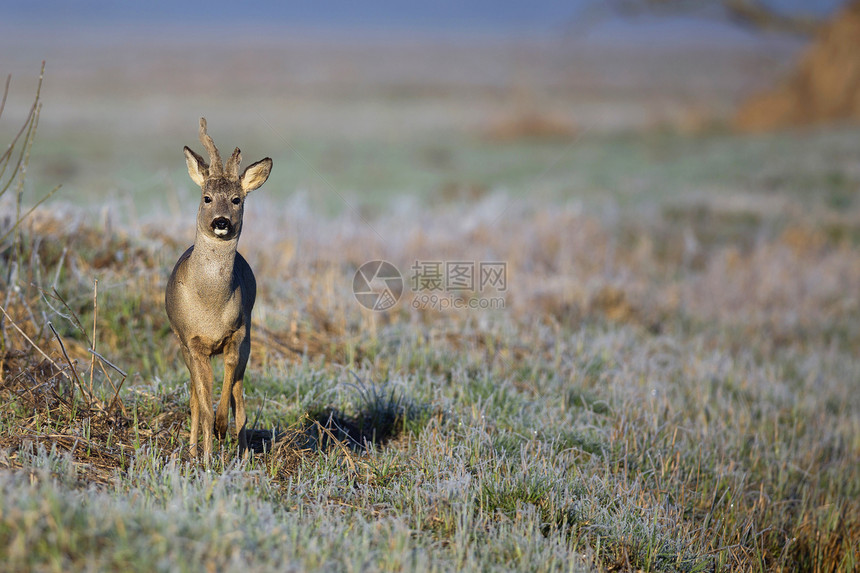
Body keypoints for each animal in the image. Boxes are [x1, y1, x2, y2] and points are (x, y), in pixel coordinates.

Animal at [166, 117, 274, 460]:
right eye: (207, 198)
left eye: (237, 199)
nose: (221, 221)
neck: (210, 305)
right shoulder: (192, 341)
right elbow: (202, 403)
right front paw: (206, 454)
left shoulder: (237, 334)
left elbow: (229, 388)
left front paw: (223, 427)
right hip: (181, 345)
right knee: (194, 399)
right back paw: (194, 451)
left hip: (249, 338)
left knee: (240, 396)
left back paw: (241, 450)